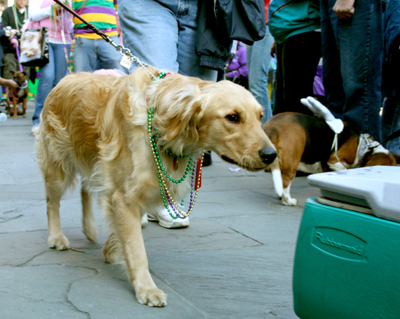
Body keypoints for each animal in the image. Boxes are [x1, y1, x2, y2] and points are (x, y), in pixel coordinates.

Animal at [36, 67, 276, 308]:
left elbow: (124, 233)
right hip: (58, 168)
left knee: (85, 189)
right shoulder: (125, 196)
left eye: (260, 116)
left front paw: (112, 251)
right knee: (51, 203)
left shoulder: (128, 189)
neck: (163, 126)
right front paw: (146, 288)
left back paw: (89, 228)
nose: (271, 155)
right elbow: (136, 248)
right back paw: (56, 237)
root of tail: (67, 77)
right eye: (233, 117)